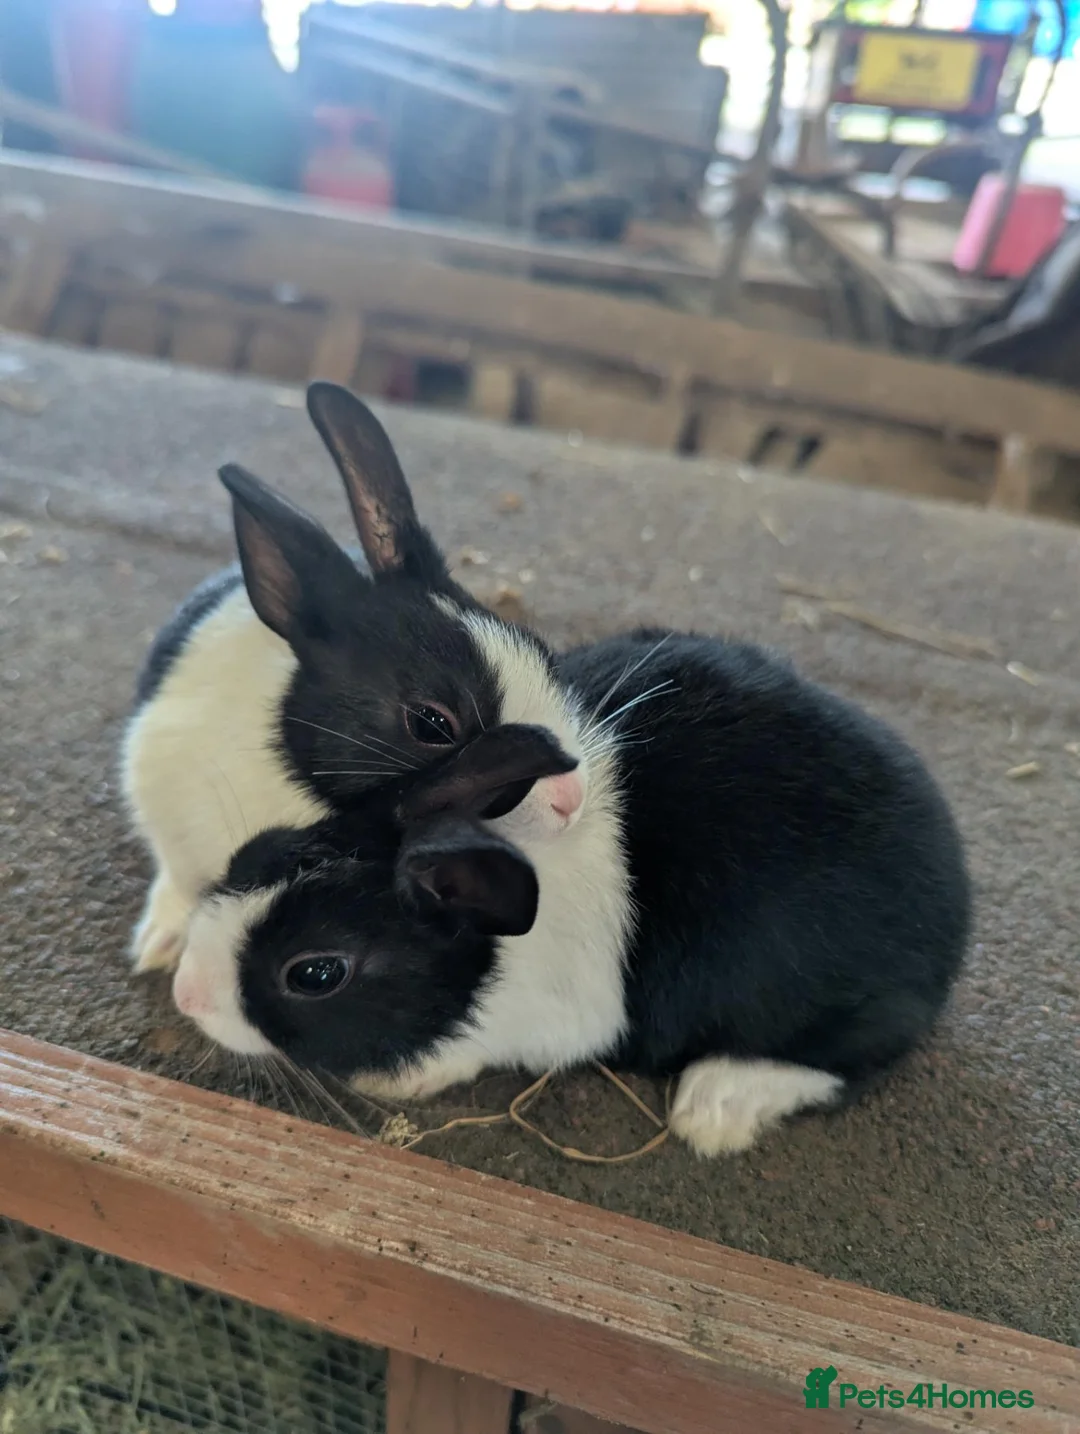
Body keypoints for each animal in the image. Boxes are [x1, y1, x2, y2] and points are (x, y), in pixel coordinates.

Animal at [168, 625, 971, 1157]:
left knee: (847, 1062)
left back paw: (714, 1108)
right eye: (254, 852)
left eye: (315, 973)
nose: (186, 994)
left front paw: (396, 1081)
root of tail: (953, 904)